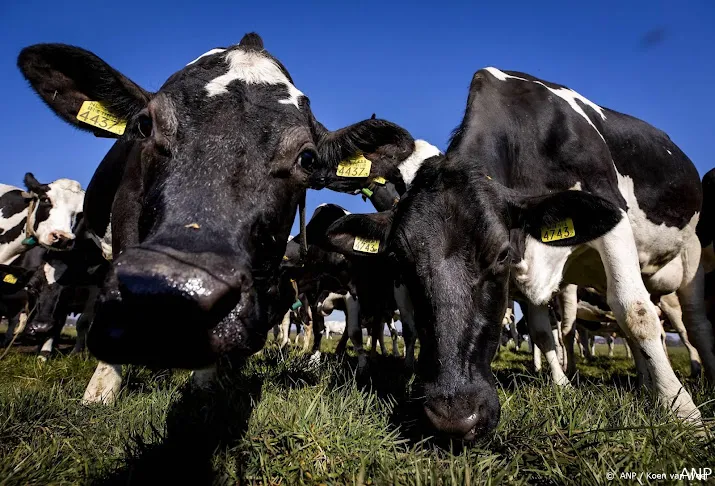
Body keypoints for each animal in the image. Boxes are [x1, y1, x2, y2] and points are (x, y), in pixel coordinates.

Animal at [318, 69, 712, 440]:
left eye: (501, 254)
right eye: (399, 259)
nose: (454, 417)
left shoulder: (612, 212)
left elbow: (636, 313)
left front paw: (684, 413)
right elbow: (542, 332)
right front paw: (563, 386)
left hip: (691, 253)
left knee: (692, 323)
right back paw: (647, 384)